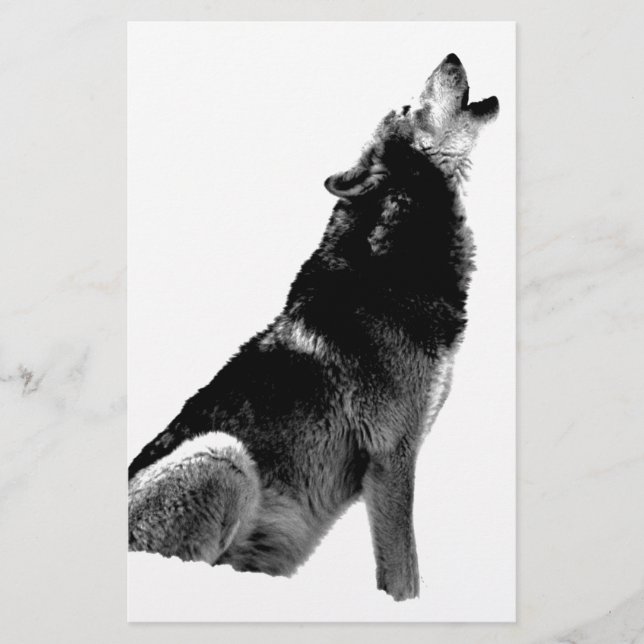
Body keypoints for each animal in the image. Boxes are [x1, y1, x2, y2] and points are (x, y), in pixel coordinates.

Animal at [128, 53, 499, 601]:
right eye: (407, 106)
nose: (451, 55)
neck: (395, 265)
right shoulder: (391, 458)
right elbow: (403, 575)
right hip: (223, 457)